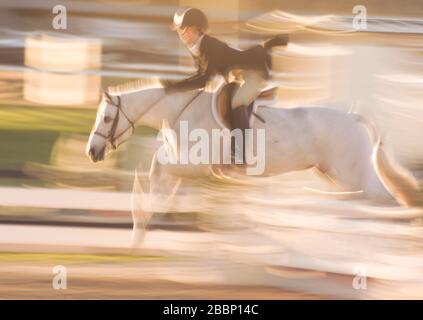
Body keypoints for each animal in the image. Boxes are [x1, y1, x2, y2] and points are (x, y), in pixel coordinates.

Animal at [85, 79, 420, 245]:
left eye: (106, 118)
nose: (92, 151)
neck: (181, 111)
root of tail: (353, 117)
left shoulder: (194, 164)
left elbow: (157, 168)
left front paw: (141, 218)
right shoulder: (184, 165)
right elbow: (160, 179)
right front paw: (144, 226)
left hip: (353, 175)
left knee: (384, 200)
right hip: (336, 176)